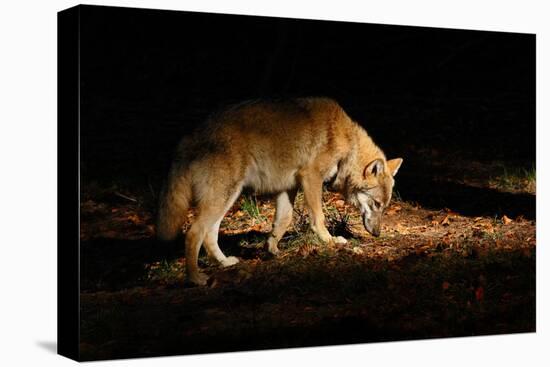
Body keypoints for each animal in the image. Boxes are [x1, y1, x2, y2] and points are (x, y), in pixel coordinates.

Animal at [157, 97, 404, 284]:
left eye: (385, 207)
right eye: (376, 204)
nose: (377, 234)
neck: (347, 143)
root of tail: (189, 138)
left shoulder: (289, 188)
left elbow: (283, 221)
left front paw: (271, 249)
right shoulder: (311, 178)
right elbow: (319, 218)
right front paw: (330, 241)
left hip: (227, 198)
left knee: (209, 235)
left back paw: (225, 263)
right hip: (224, 198)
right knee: (193, 233)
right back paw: (195, 278)